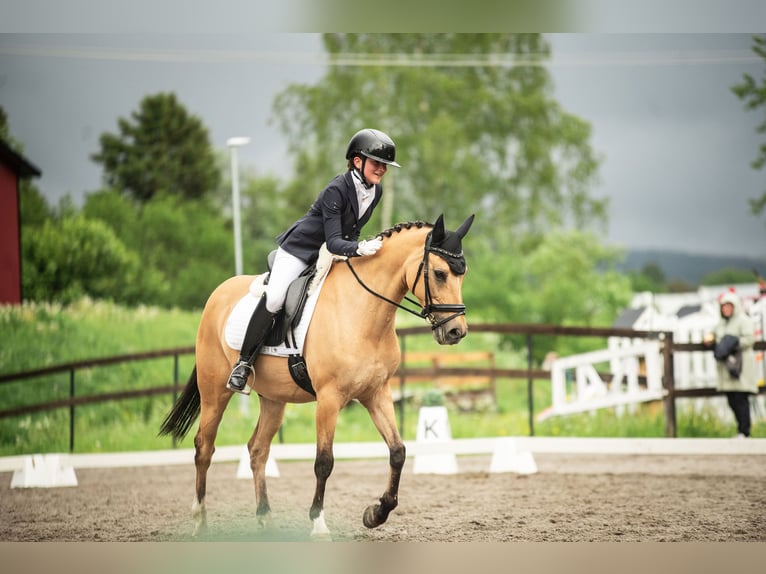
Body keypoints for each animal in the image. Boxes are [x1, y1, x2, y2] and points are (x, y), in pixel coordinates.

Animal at [159, 213, 474, 539]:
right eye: (439, 273)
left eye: (462, 275)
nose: (456, 332)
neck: (362, 311)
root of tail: (218, 294)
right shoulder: (329, 398)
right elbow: (324, 461)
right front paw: (319, 524)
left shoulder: (376, 393)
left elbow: (398, 451)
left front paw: (376, 513)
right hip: (215, 391)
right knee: (204, 448)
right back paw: (200, 522)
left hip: (273, 399)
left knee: (258, 450)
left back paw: (264, 520)